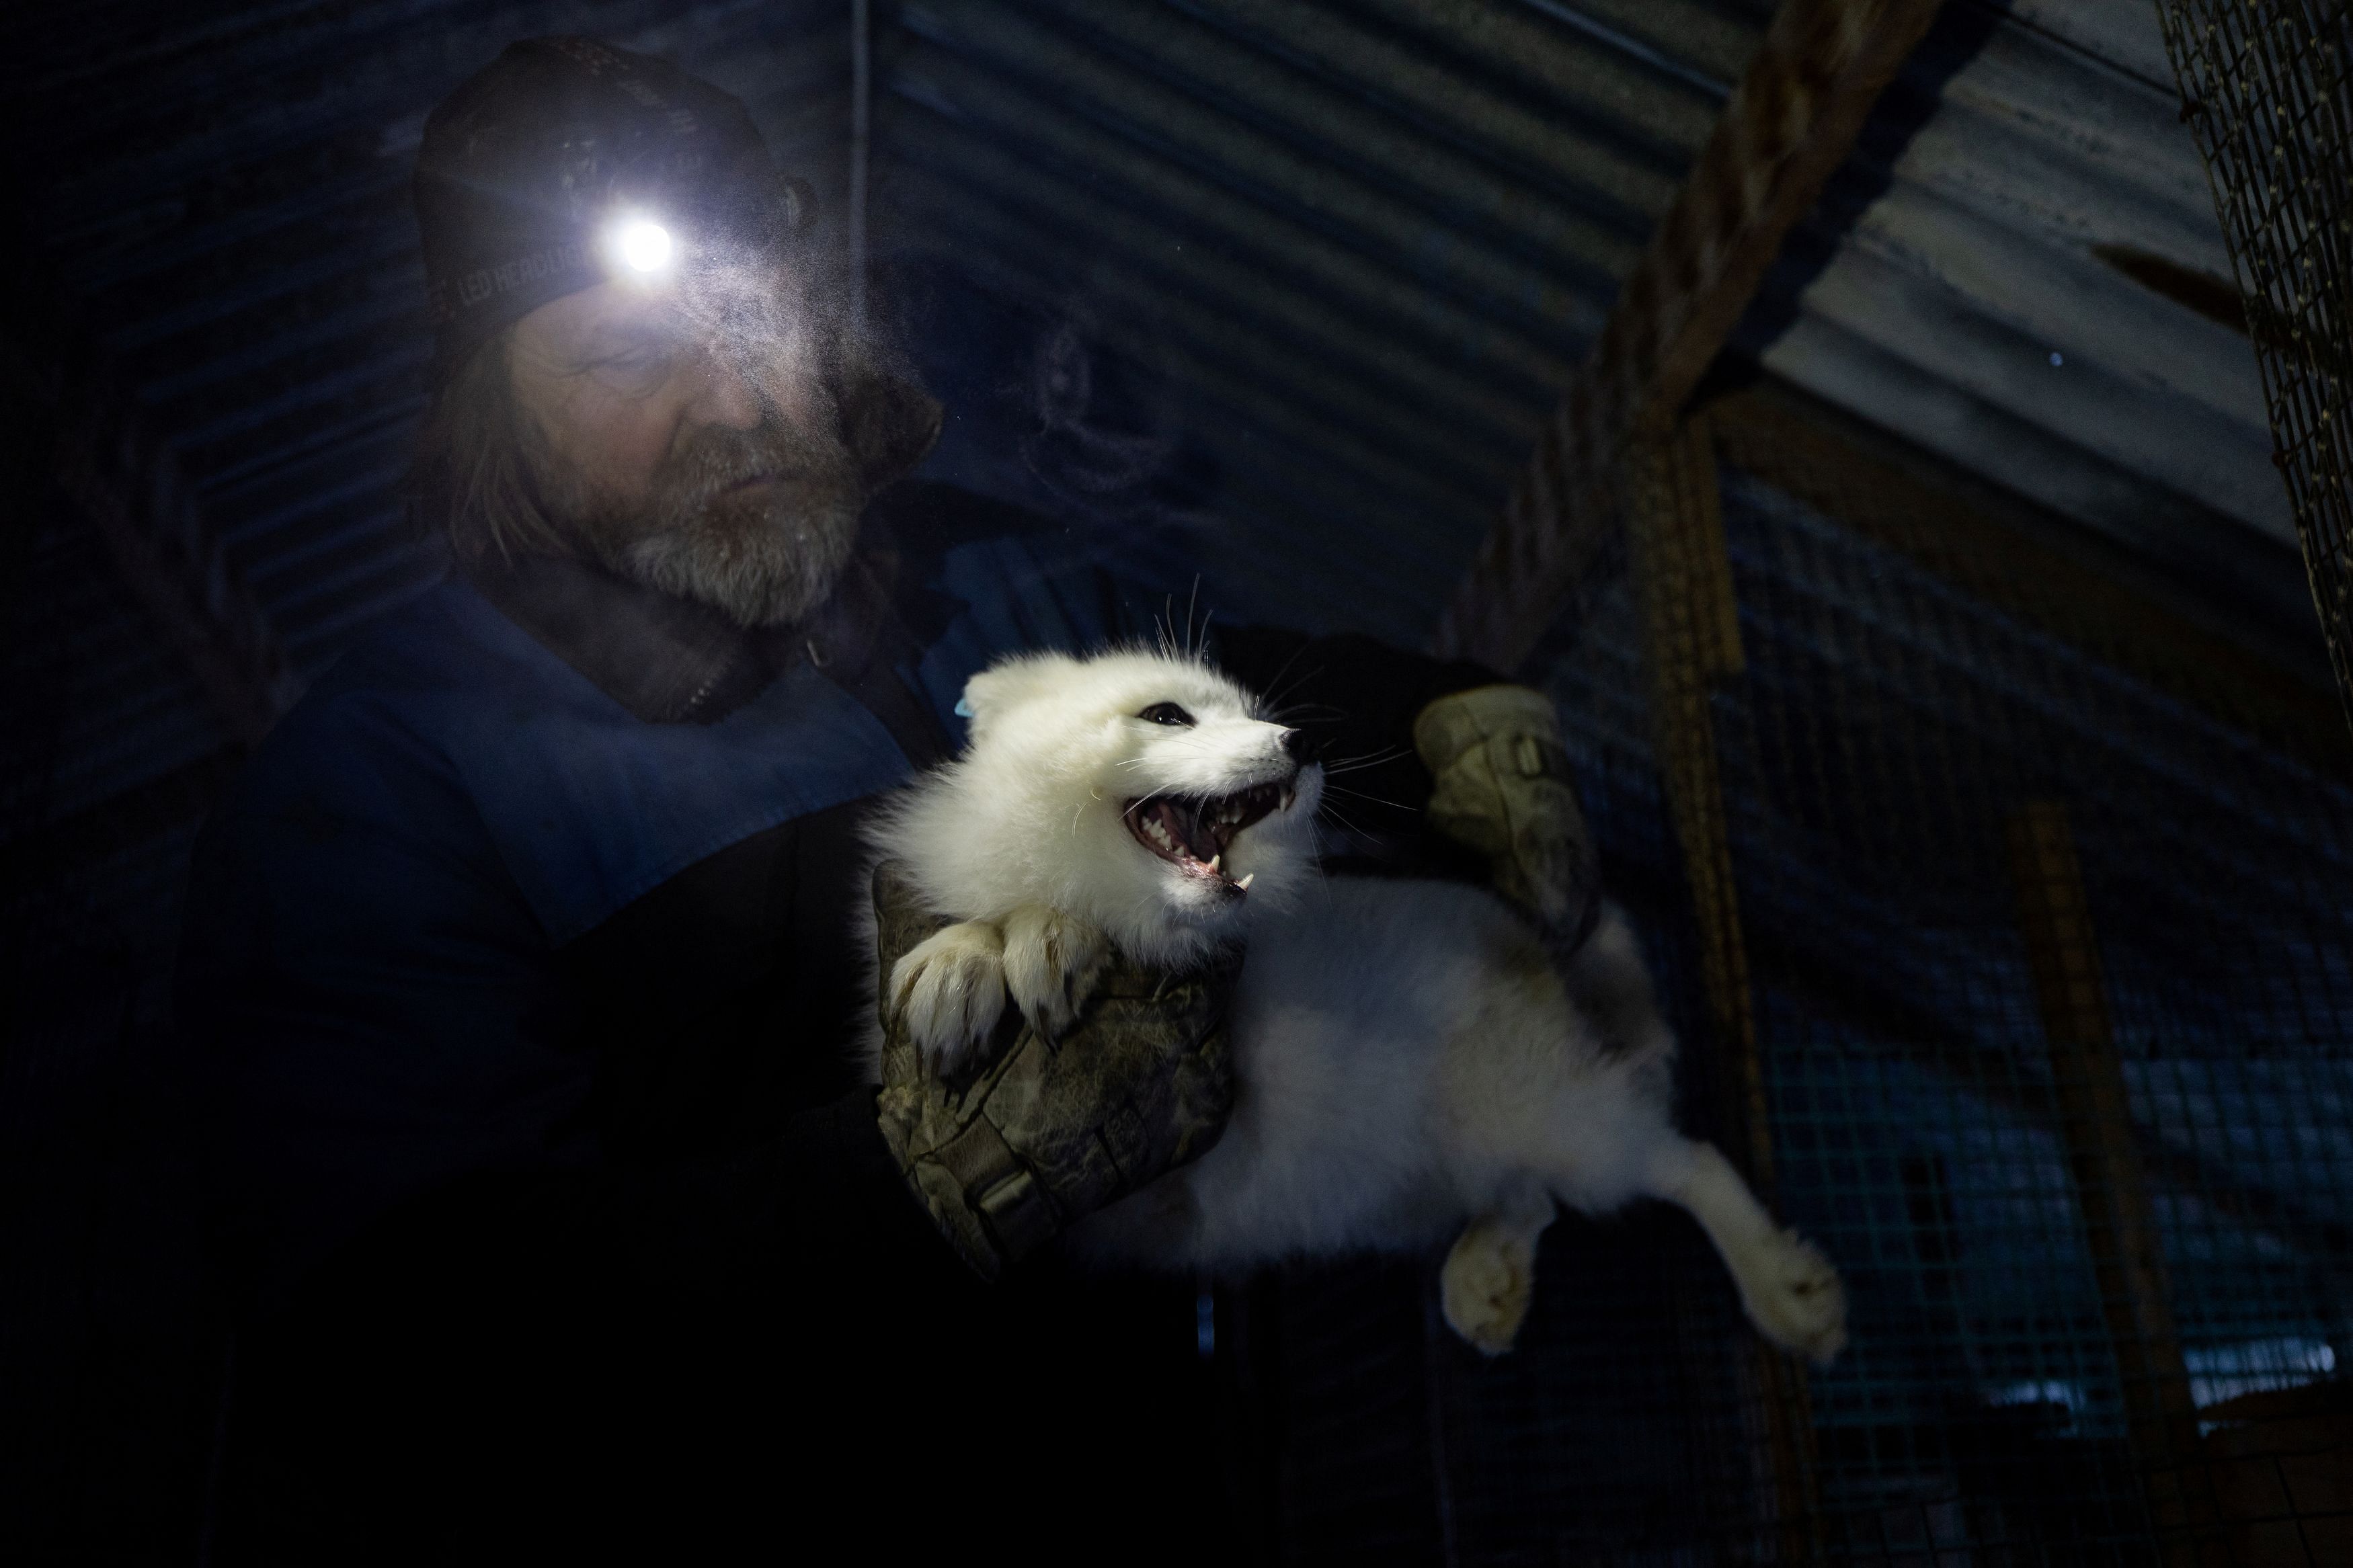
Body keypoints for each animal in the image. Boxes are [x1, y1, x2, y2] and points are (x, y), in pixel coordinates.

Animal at [866, 649, 1835, 1363]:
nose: (1302, 742)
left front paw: (1037, 941)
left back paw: (1785, 1293)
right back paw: (1485, 1277)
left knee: (1682, 1161)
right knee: (1534, 1196)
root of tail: (1524, 940)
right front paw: (966, 959)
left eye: (1255, 713)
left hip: (1563, 1118)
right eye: (1166, 716)